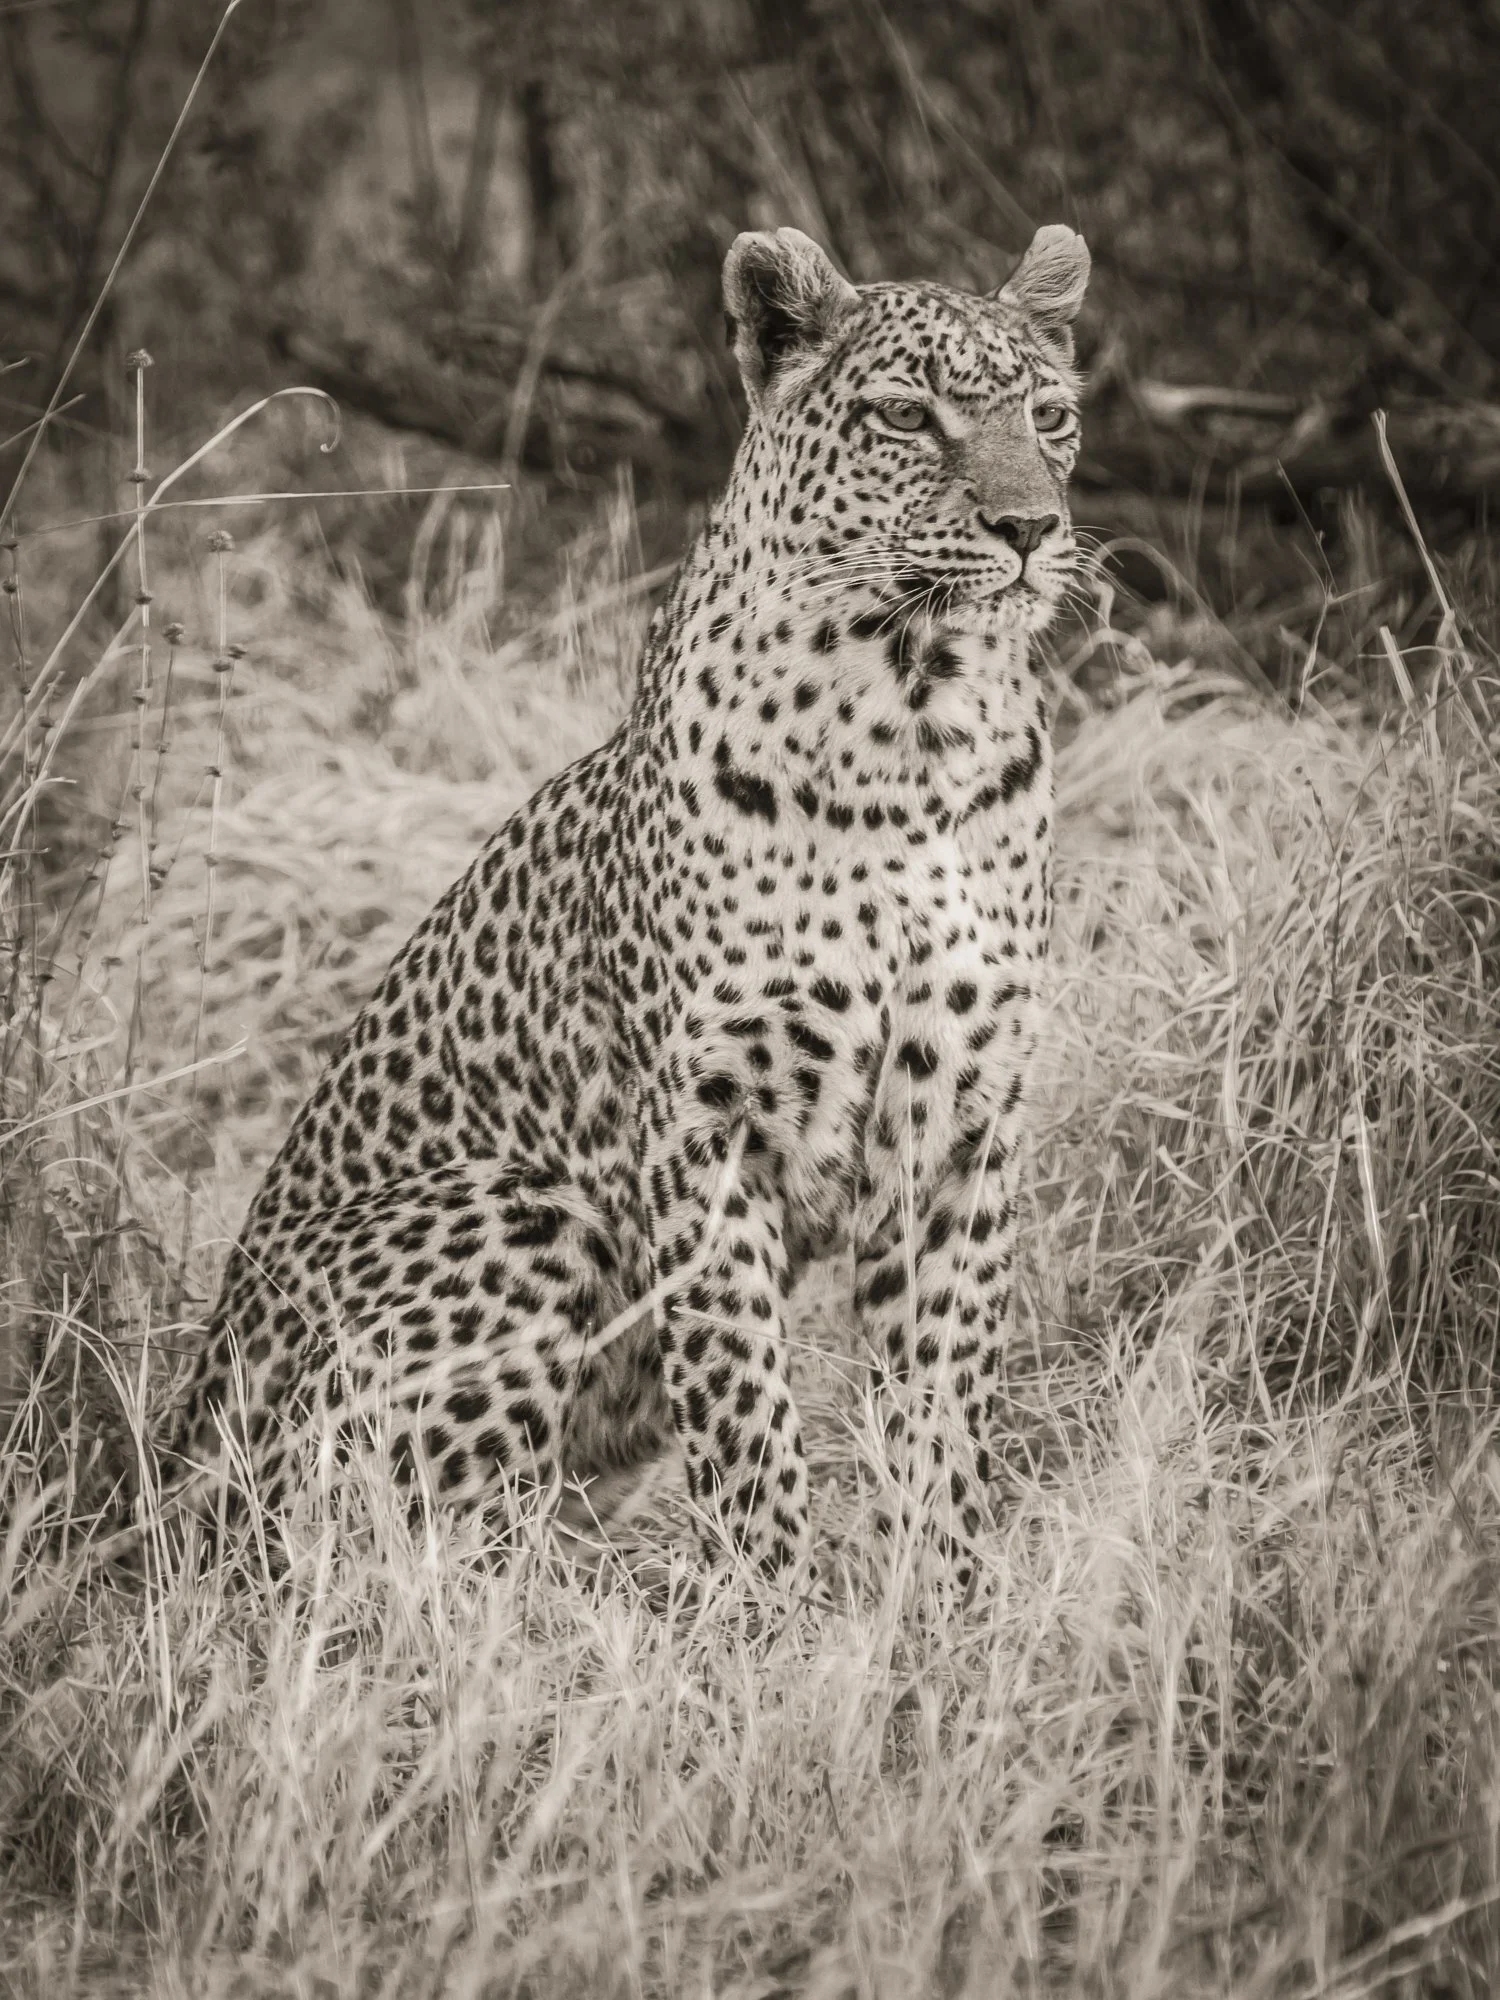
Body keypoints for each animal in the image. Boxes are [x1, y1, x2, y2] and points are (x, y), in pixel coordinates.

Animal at [174, 222, 1091, 1586]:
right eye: (906, 416)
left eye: (1051, 415)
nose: (1030, 526)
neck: (916, 721)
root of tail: (164, 1449)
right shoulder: (704, 1122)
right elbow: (743, 1396)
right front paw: (771, 1605)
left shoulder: (965, 1119)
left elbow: (944, 1385)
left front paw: (946, 1597)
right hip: (516, 1210)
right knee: (362, 1535)